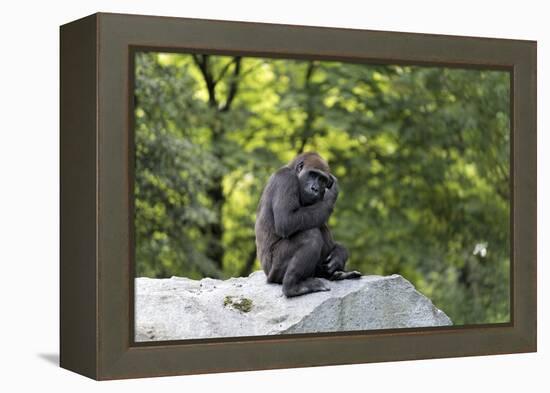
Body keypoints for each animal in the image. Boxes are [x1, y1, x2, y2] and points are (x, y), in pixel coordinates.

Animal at [256, 152, 362, 296]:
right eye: (312, 174)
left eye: (322, 180)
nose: (315, 189)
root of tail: (267, 275)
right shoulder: (285, 179)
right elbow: (287, 221)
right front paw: (331, 194)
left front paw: (339, 253)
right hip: (274, 272)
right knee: (310, 235)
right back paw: (293, 286)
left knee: (319, 226)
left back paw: (336, 274)